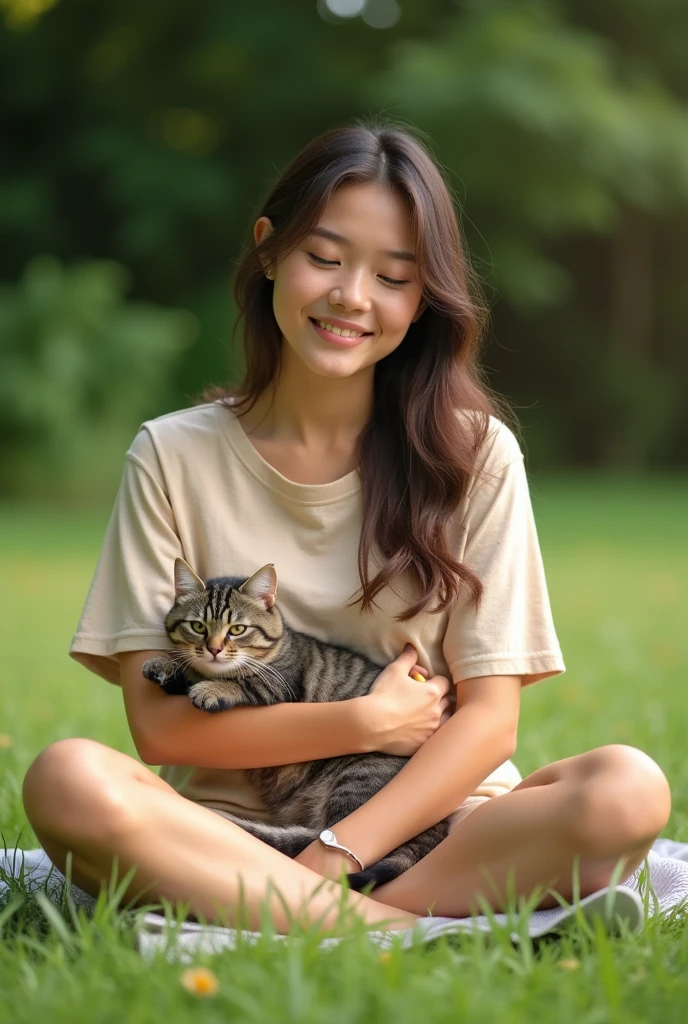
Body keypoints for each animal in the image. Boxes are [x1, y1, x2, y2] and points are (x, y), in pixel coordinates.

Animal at [142, 561, 448, 888]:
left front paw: (210, 688)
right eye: (198, 626)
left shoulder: (280, 687)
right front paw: (164, 664)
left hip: (359, 776)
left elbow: (242, 682)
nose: (213, 649)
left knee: (318, 838)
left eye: (237, 629)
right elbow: (187, 671)